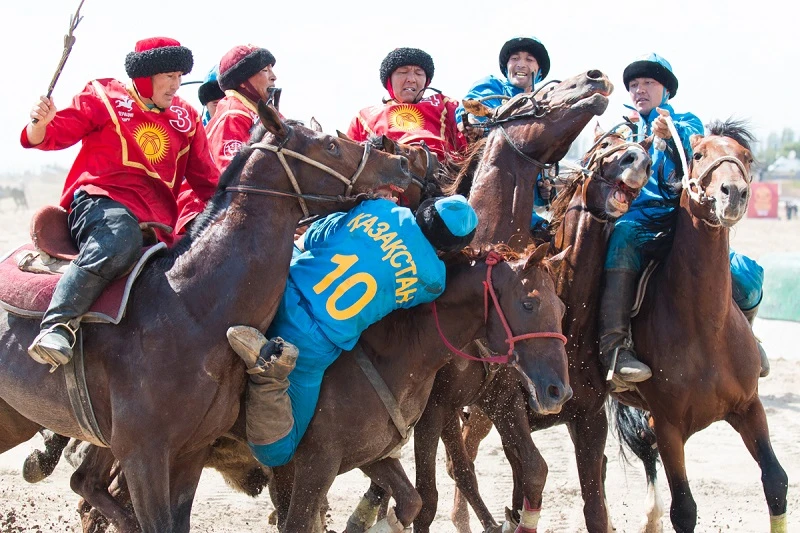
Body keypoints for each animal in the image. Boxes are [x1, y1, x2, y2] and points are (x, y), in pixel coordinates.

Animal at [0, 101, 412, 532]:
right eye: (330, 145)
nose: (399, 163)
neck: (192, 311)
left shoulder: (190, 453)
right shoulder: (143, 456)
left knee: (85, 481)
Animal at [268, 243, 568, 528]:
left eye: (562, 308)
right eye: (529, 304)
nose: (560, 391)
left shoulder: (502, 397)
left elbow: (534, 468)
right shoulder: (435, 411)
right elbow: (434, 494)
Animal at [608, 120, 792, 532]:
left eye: (746, 157)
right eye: (697, 154)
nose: (733, 193)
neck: (706, 330)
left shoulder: (749, 406)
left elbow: (776, 480)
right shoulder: (669, 424)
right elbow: (685, 508)